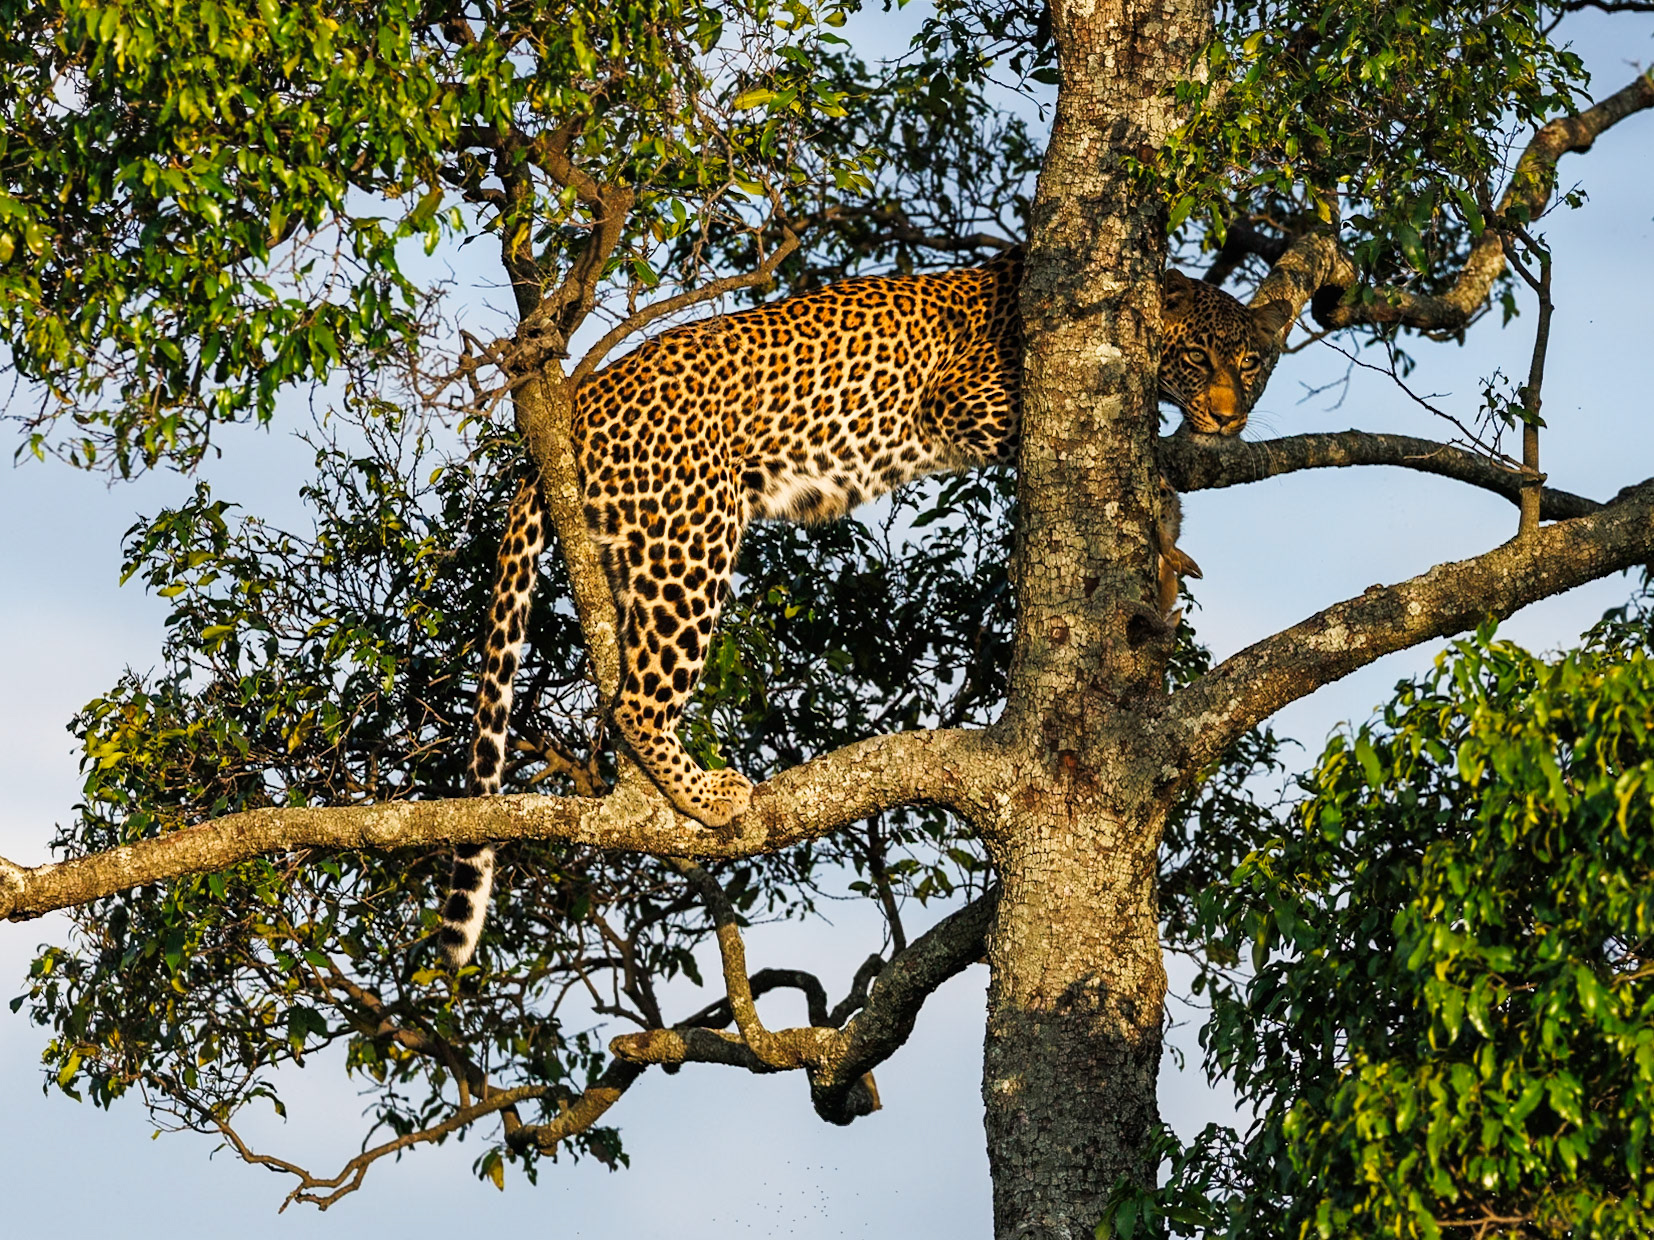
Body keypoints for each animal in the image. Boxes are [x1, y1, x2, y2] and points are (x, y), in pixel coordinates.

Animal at [438, 248, 1292, 966]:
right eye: (1198, 357)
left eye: (1251, 363)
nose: (1228, 414)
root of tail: (585, 393)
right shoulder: (965, 400)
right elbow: (1136, 438)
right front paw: (1160, 455)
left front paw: (1168, 542)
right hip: (693, 531)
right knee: (636, 699)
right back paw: (711, 795)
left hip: (636, 545)